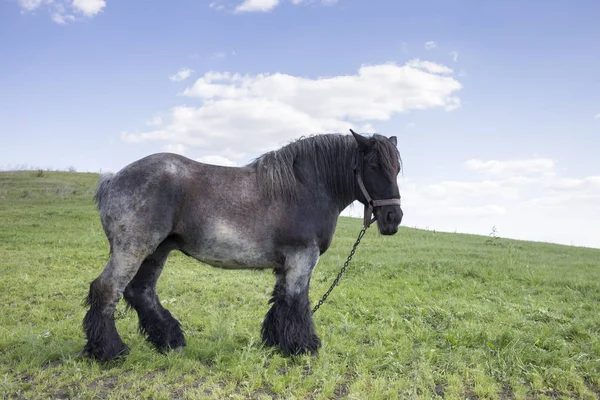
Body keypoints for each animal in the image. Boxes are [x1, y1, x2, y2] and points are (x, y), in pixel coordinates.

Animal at [83, 130, 404, 360]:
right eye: (373, 165)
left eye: (397, 169)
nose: (394, 218)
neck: (306, 187)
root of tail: (112, 180)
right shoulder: (302, 258)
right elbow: (297, 302)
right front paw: (304, 347)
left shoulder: (287, 264)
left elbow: (281, 301)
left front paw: (276, 342)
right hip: (132, 249)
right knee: (107, 290)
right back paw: (109, 351)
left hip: (156, 252)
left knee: (141, 292)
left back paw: (171, 341)